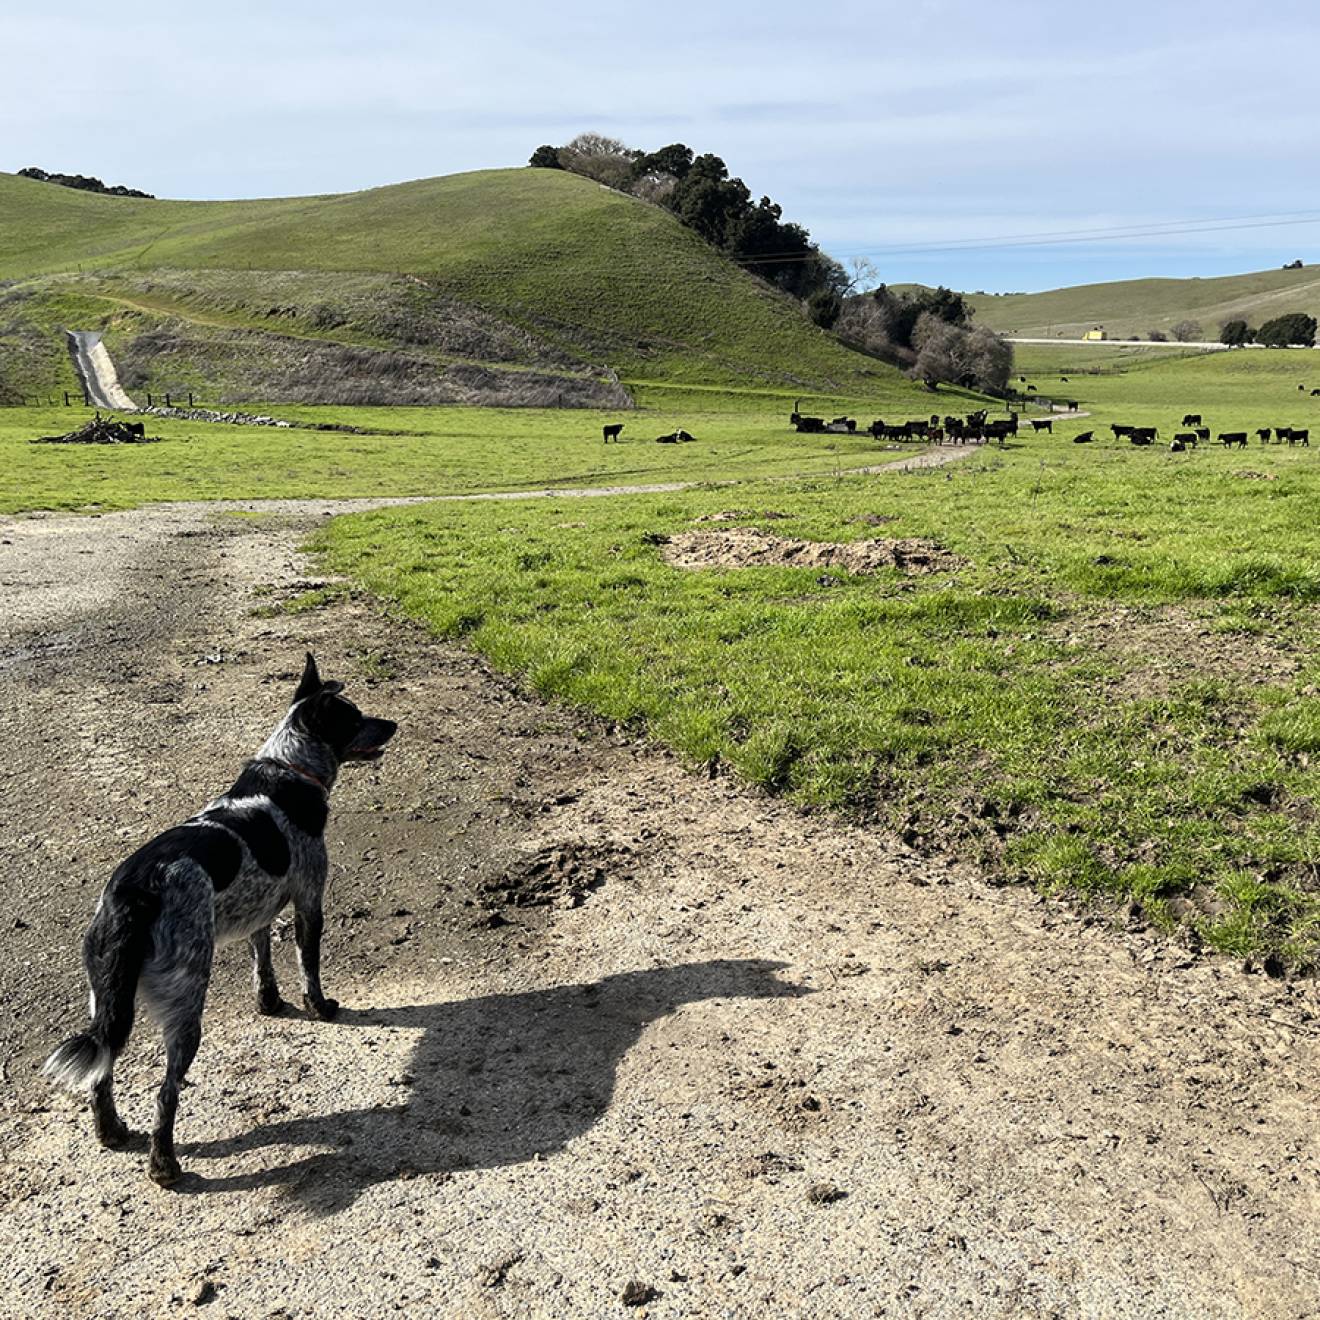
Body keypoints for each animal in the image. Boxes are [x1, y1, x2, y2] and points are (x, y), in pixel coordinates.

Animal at [46, 657, 396, 1188]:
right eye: (354, 717)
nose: (393, 725)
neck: (288, 769)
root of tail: (134, 892)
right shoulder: (308, 901)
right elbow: (309, 965)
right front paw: (321, 1008)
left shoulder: (259, 909)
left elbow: (262, 959)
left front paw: (270, 1003)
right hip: (186, 1001)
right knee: (165, 1092)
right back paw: (164, 1165)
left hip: (106, 995)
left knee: (101, 1073)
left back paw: (113, 1133)